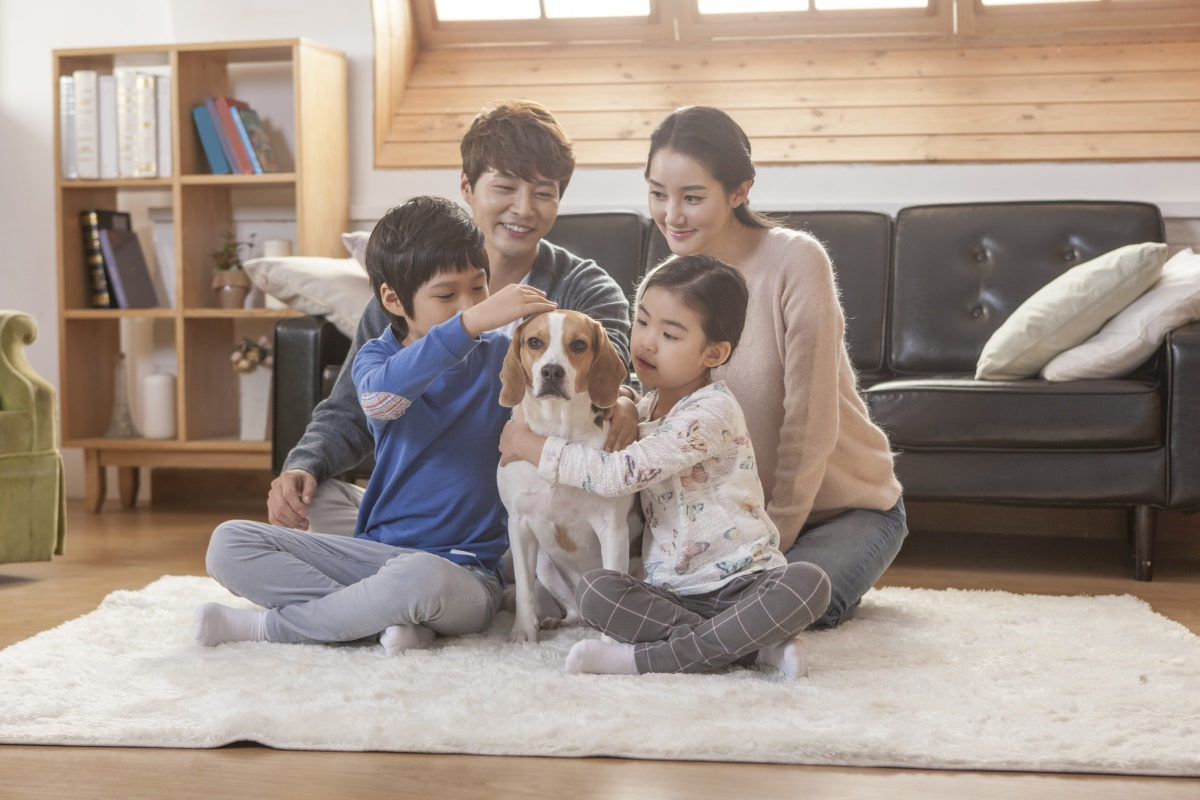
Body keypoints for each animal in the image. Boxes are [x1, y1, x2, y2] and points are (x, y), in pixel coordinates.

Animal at [496, 309, 638, 642]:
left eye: (579, 345)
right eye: (534, 341)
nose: (551, 372)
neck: (556, 433)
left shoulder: (612, 529)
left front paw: (608, 645)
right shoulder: (519, 525)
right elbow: (524, 590)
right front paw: (523, 632)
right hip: (545, 565)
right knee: (575, 609)